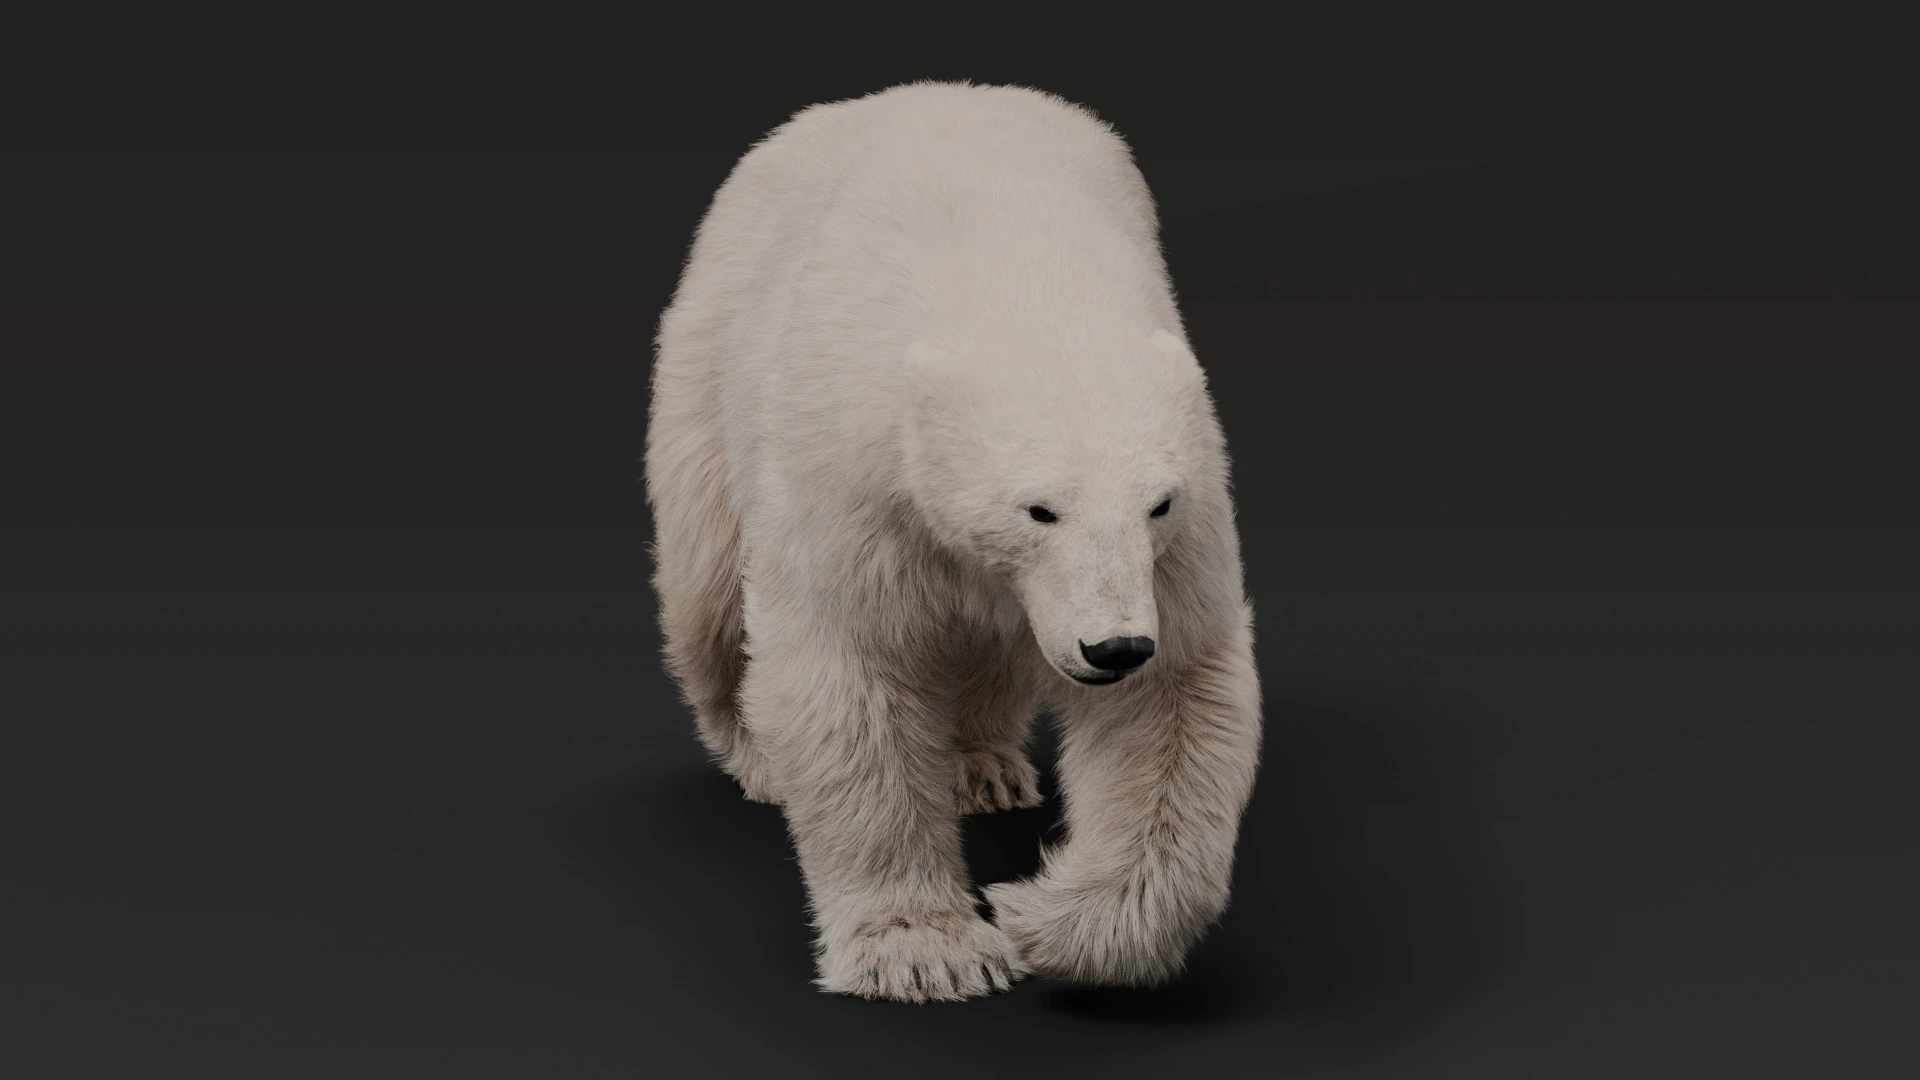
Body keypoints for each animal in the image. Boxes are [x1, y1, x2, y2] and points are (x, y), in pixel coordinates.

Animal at [645, 80, 1263, 1003]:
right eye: (1040, 509)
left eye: (1155, 504)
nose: (1113, 647)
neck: (1016, 284)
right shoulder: (854, 480)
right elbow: (850, 674)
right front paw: (926, 948)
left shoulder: (1182, 529)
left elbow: (1173, 700)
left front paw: (1044, 916)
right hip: (706, 361)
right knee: (708, 594)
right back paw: (759, 758)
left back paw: (982, 766)